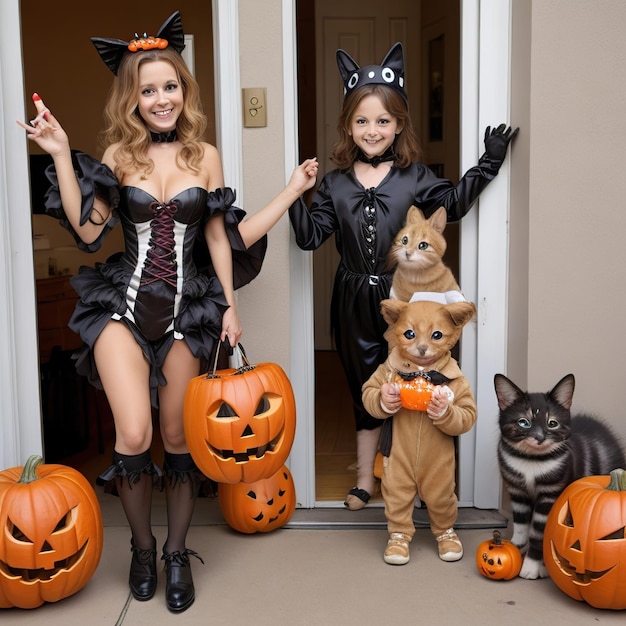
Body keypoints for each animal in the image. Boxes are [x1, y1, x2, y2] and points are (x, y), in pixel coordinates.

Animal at [492, 372, 624, 576]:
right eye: (523, 422)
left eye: (552, 423)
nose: (539, 437)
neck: (531, 461)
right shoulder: (517, 492)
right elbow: (521, 525)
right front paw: (516, 548)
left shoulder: (551, 495)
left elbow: (539, 533)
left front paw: (531, 566)